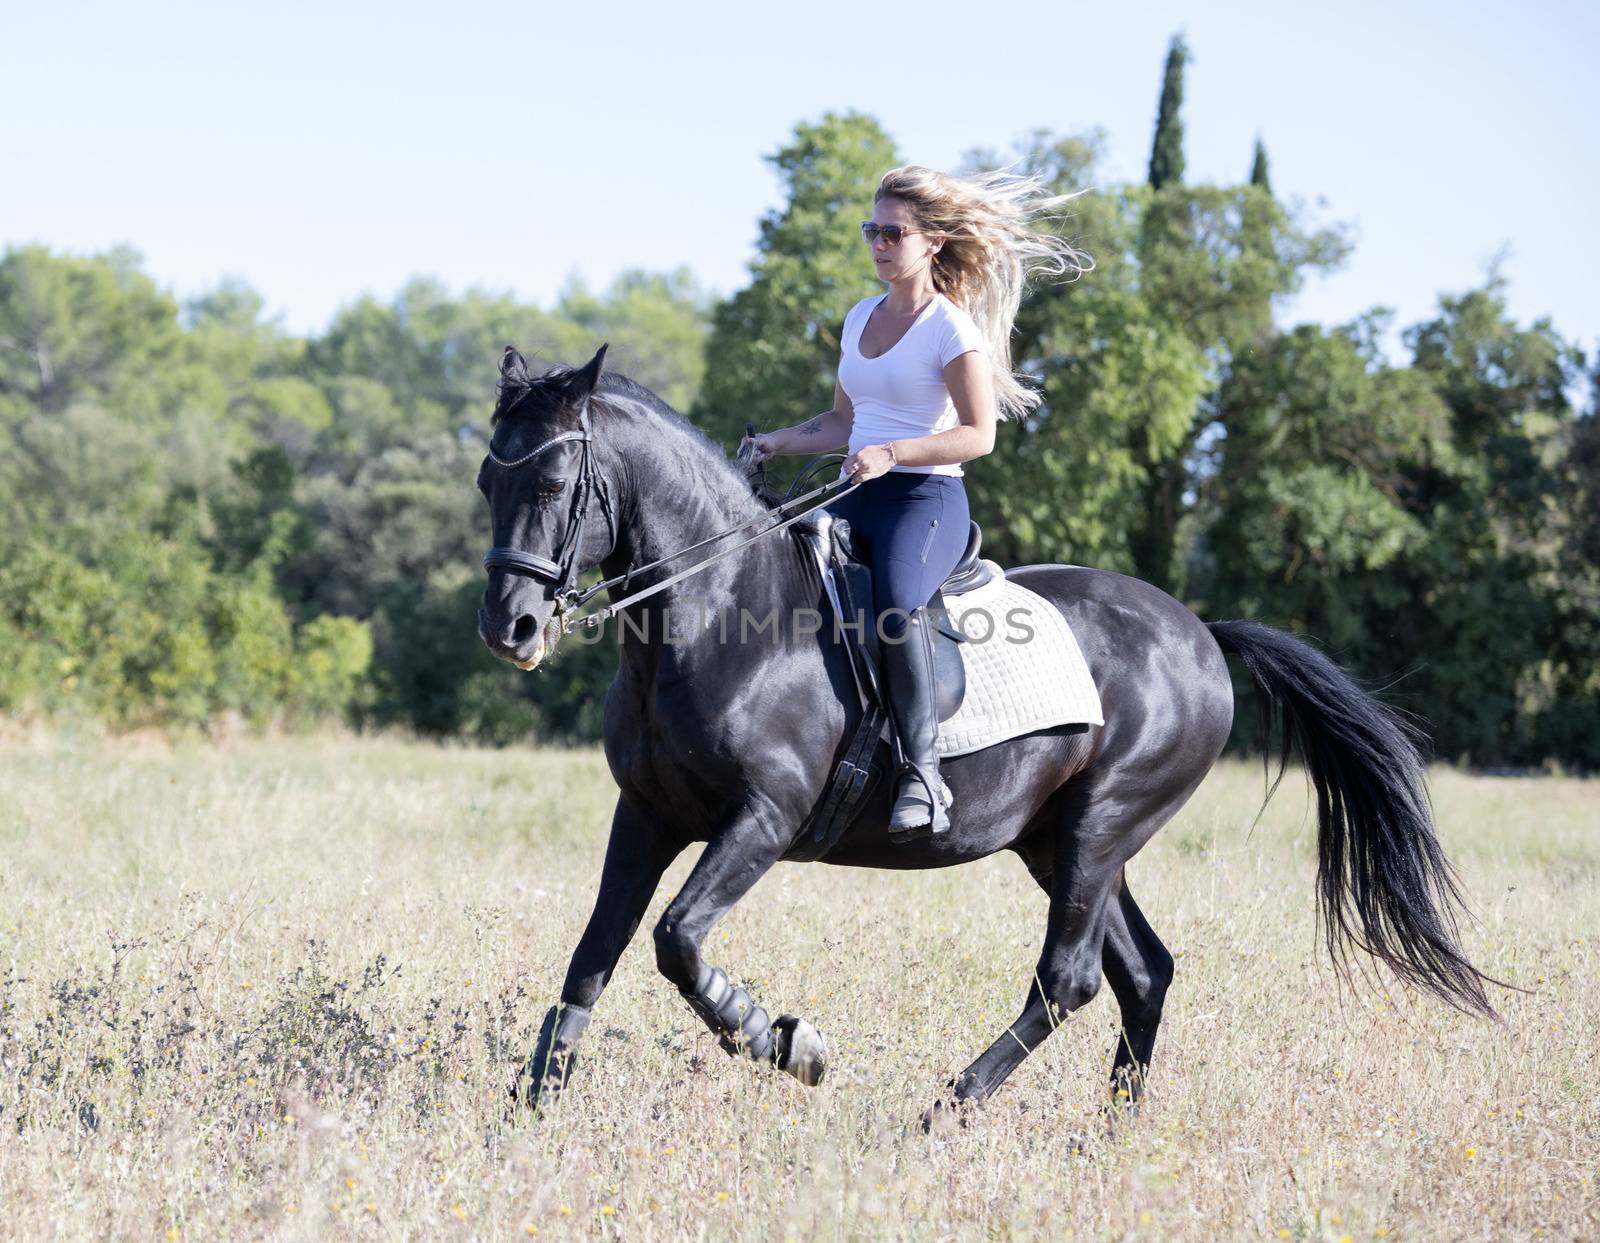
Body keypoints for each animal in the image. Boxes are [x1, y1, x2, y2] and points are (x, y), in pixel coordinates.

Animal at [473, 343, 1497, 1119]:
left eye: (557, 480)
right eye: (489, 477)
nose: (509, 628)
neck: (722, 616)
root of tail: (1203, 634)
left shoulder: (761, 819)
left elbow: (678, 941)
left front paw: (787, 1041)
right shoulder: (646, 813)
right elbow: (595, 953)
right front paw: (530, 1108)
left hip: (1100, 828)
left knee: (1071, 978)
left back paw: (946, 1108)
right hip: (1062, 841)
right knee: (1144, 973)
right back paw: (1111, 1133)